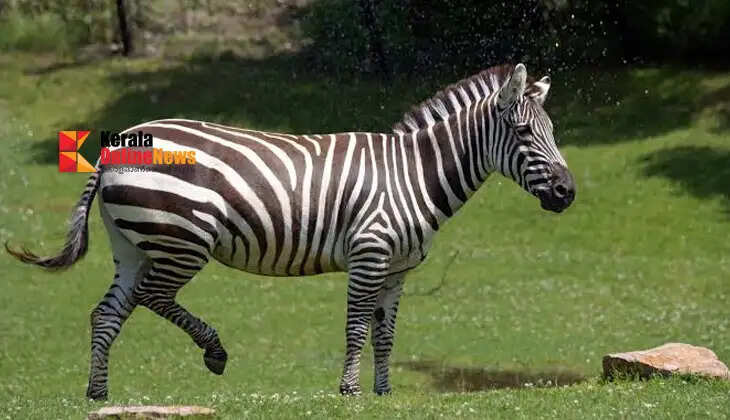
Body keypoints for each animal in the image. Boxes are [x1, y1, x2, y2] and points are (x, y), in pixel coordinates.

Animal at [7, 63, 575, 400]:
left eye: (552, 132)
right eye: (523, 132)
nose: (568, 193)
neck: (413, 174)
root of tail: (113, 147)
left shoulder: (397, 269)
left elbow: (386, 335)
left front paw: (383, 394)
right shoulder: (370, 253)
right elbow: (356, 328)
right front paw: (349, 392)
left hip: (133, 246)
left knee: (107, 314)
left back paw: (98, 395)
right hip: (182, 239)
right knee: (152, 298)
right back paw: (214, 352)